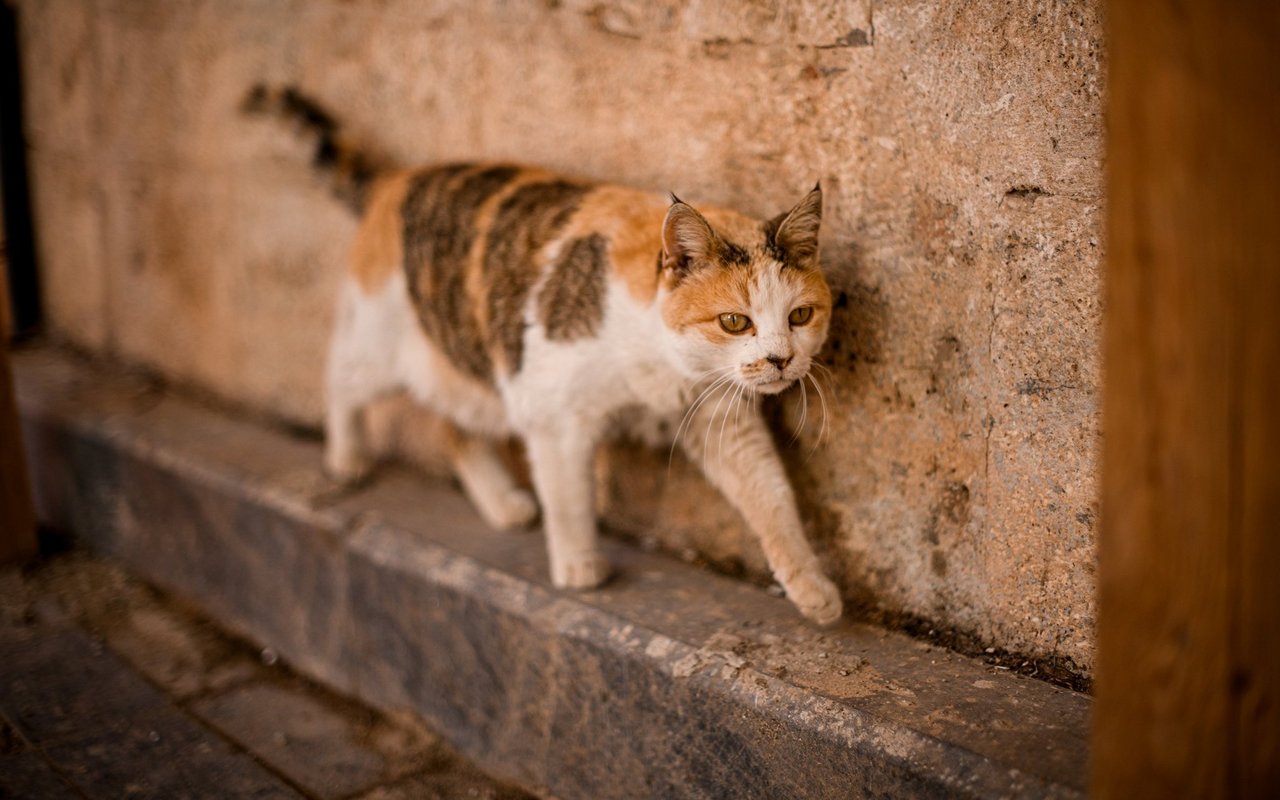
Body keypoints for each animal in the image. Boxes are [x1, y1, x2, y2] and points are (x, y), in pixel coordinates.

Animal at [250, 87, 849, 624]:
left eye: (800, 316)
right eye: (734, 322)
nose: (780, 360)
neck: (658, 357)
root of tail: (394, 182)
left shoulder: (720, 421)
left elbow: (772, 498)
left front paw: (812, 588)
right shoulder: (555, 414)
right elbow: (569, 495)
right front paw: (580, 566)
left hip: (474, 371)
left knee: (452, 426)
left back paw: (502, 503)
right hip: (381, 347)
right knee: (341, 381)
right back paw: (346, 458)